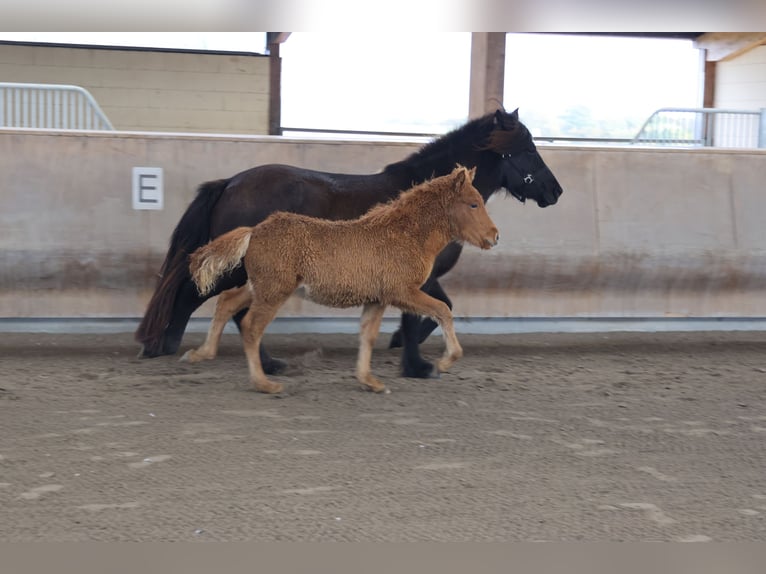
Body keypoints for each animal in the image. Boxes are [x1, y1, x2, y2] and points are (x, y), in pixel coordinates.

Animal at [135, 108, 564, 378]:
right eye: (528, 149)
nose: (555, 191)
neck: (425, 208)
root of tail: (230, 183)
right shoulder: (416, 278)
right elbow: (424, 314)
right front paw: (418, 366)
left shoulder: (421, 277)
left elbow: (435, 310)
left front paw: (405, 351)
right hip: (249, 269)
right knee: (207, 299)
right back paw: (173, 346)